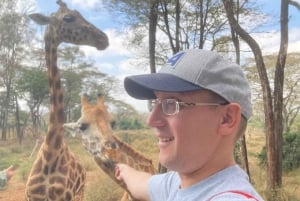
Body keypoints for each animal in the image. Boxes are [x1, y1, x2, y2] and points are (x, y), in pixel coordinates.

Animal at [25, 0, 108, 200]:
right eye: (68, 18)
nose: (104, 38)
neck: (50, 153)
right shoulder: (31, 196)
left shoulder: (66, 196)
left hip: (81, 191)